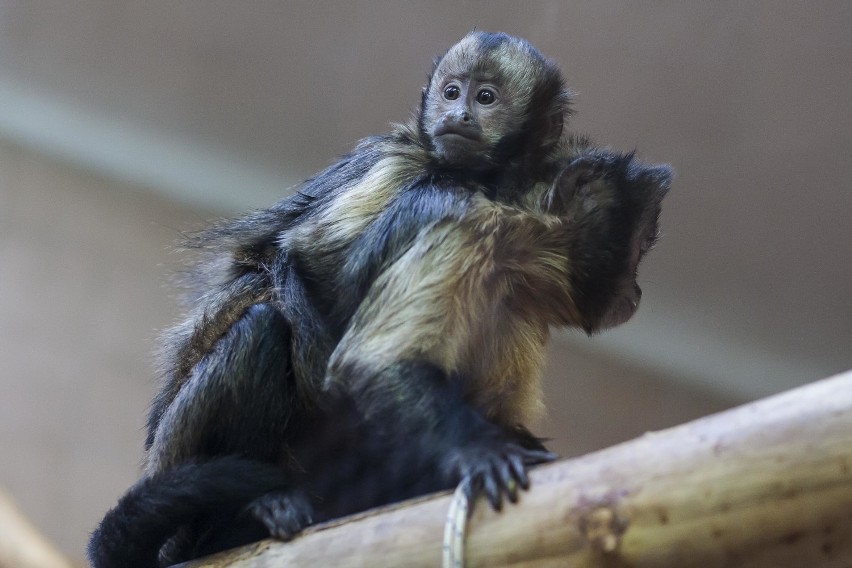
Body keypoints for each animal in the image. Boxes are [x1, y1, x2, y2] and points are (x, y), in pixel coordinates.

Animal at [88, 32, 672, 568]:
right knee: (262, 327)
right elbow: (337, 312)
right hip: (178, 444)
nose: (635, 288)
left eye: (486, 98)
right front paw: (475, 451)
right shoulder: (453, 213)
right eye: (454, 92)